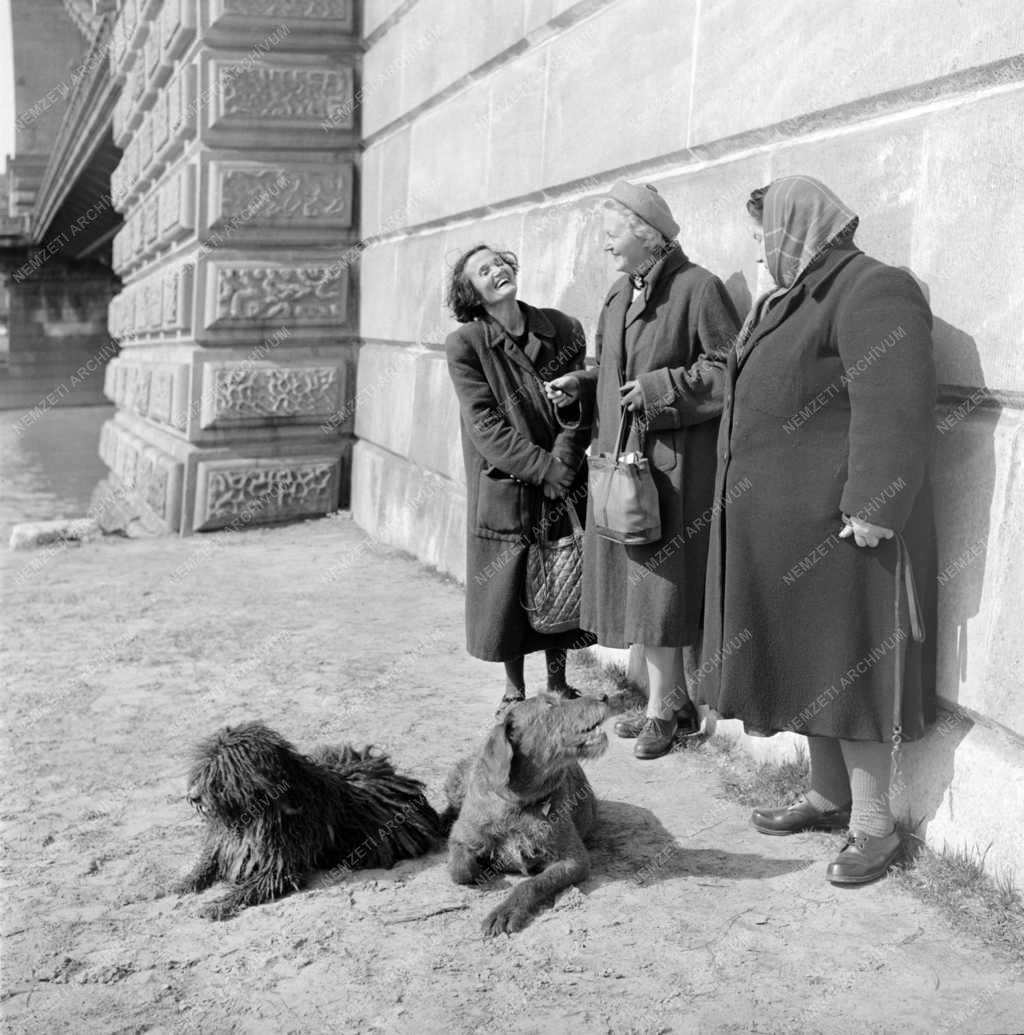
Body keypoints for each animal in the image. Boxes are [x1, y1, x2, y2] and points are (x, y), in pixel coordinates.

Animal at [172, 724, 443, 919]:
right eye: (204, 769)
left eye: (222, 773)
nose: (192, 796)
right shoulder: (224, 845)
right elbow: (205, 864)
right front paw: (179, 884)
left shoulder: (279, 866)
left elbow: (249, 887)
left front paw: (216, 905)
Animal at [441, 695, 608, 939]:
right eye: (550, 704)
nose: (603, 697)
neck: (518, 803)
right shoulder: (462, 835)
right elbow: (460, 869)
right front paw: (478, 866)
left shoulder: (574, 860)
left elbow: (532, 884)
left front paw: (506, 911)